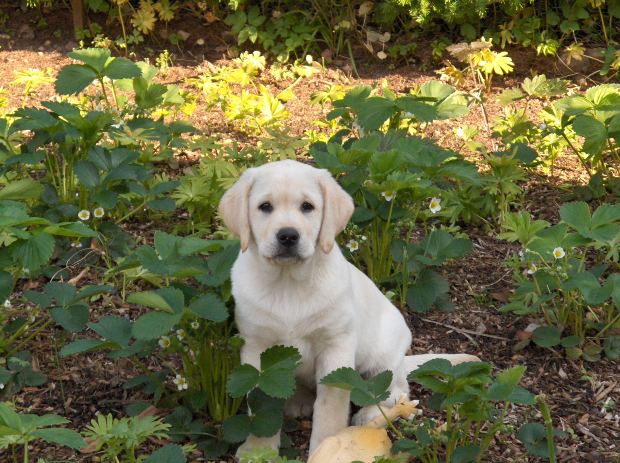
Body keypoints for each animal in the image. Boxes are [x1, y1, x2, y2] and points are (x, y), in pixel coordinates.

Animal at [219, 160, 480, 456]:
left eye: (307, 206)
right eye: (265, 207)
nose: (288, 235)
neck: (289, 284)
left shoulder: (336, 347)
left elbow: (331, 403)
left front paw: (329, 445)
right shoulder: (256, 348)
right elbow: (260, 401)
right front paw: (258, 449)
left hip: (382, 357)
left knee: (395, 389)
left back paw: (370, 414)